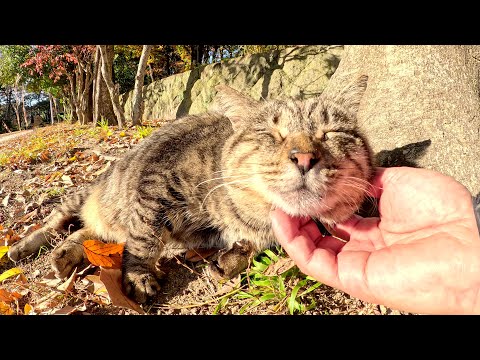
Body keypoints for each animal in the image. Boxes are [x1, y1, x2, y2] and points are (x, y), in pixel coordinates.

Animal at [8, 75, 376, 304]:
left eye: (331, 133)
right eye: (270, 135)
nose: (304, 158)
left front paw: (234, 258)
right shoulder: (154, 182)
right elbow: (144, 238)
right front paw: (139, 274)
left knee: (86, 232)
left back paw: (64, 255)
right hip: (86, 194)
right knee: (57, 220)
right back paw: (21, 248)